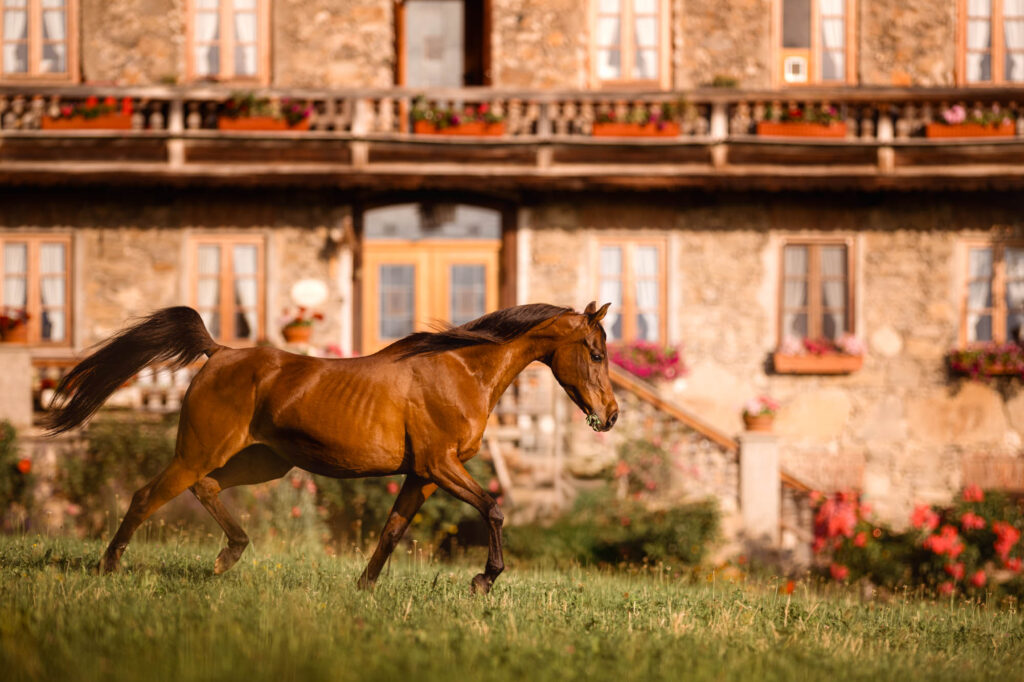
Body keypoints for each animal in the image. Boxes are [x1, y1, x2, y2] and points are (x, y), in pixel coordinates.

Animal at [45, 302, 619, 594]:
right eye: (594, 352)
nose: (610, 415)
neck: (461, 371)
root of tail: (219, 352)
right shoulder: (441, 464)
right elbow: (494, 509)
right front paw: (484, 579)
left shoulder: (423, 475)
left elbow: (391, 531)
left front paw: (363, 589)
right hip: (198, 452)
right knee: (147, 496)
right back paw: (109, 568)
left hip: (262, 462)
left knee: (205, 490)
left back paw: (227, 558)